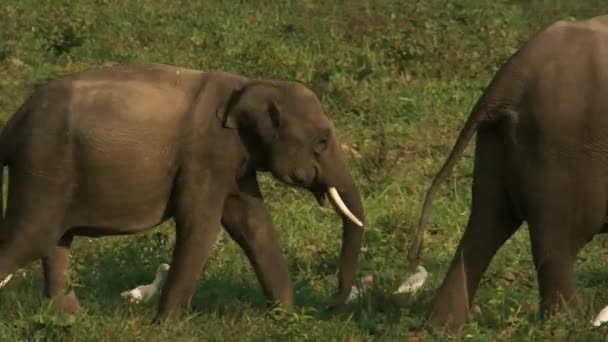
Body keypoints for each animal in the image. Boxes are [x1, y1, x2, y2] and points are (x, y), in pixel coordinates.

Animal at [0, 63, 366, 320]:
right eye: (322, 142)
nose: (330, 305)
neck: (250, 83)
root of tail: (14, 120)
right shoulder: (204, 155)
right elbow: (200, 225)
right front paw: (165, 325)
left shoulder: (233, 161)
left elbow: (252, 224)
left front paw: (286, 319)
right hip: (43, 165)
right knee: (29, 239)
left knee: (54, 242)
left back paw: (70, 319)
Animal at [406, 16, 608, 332]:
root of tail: (509, 78)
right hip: (561, 147)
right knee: (558, 240)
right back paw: (568, 327)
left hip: (498, 141)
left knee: (486, 222)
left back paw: (442, 326)